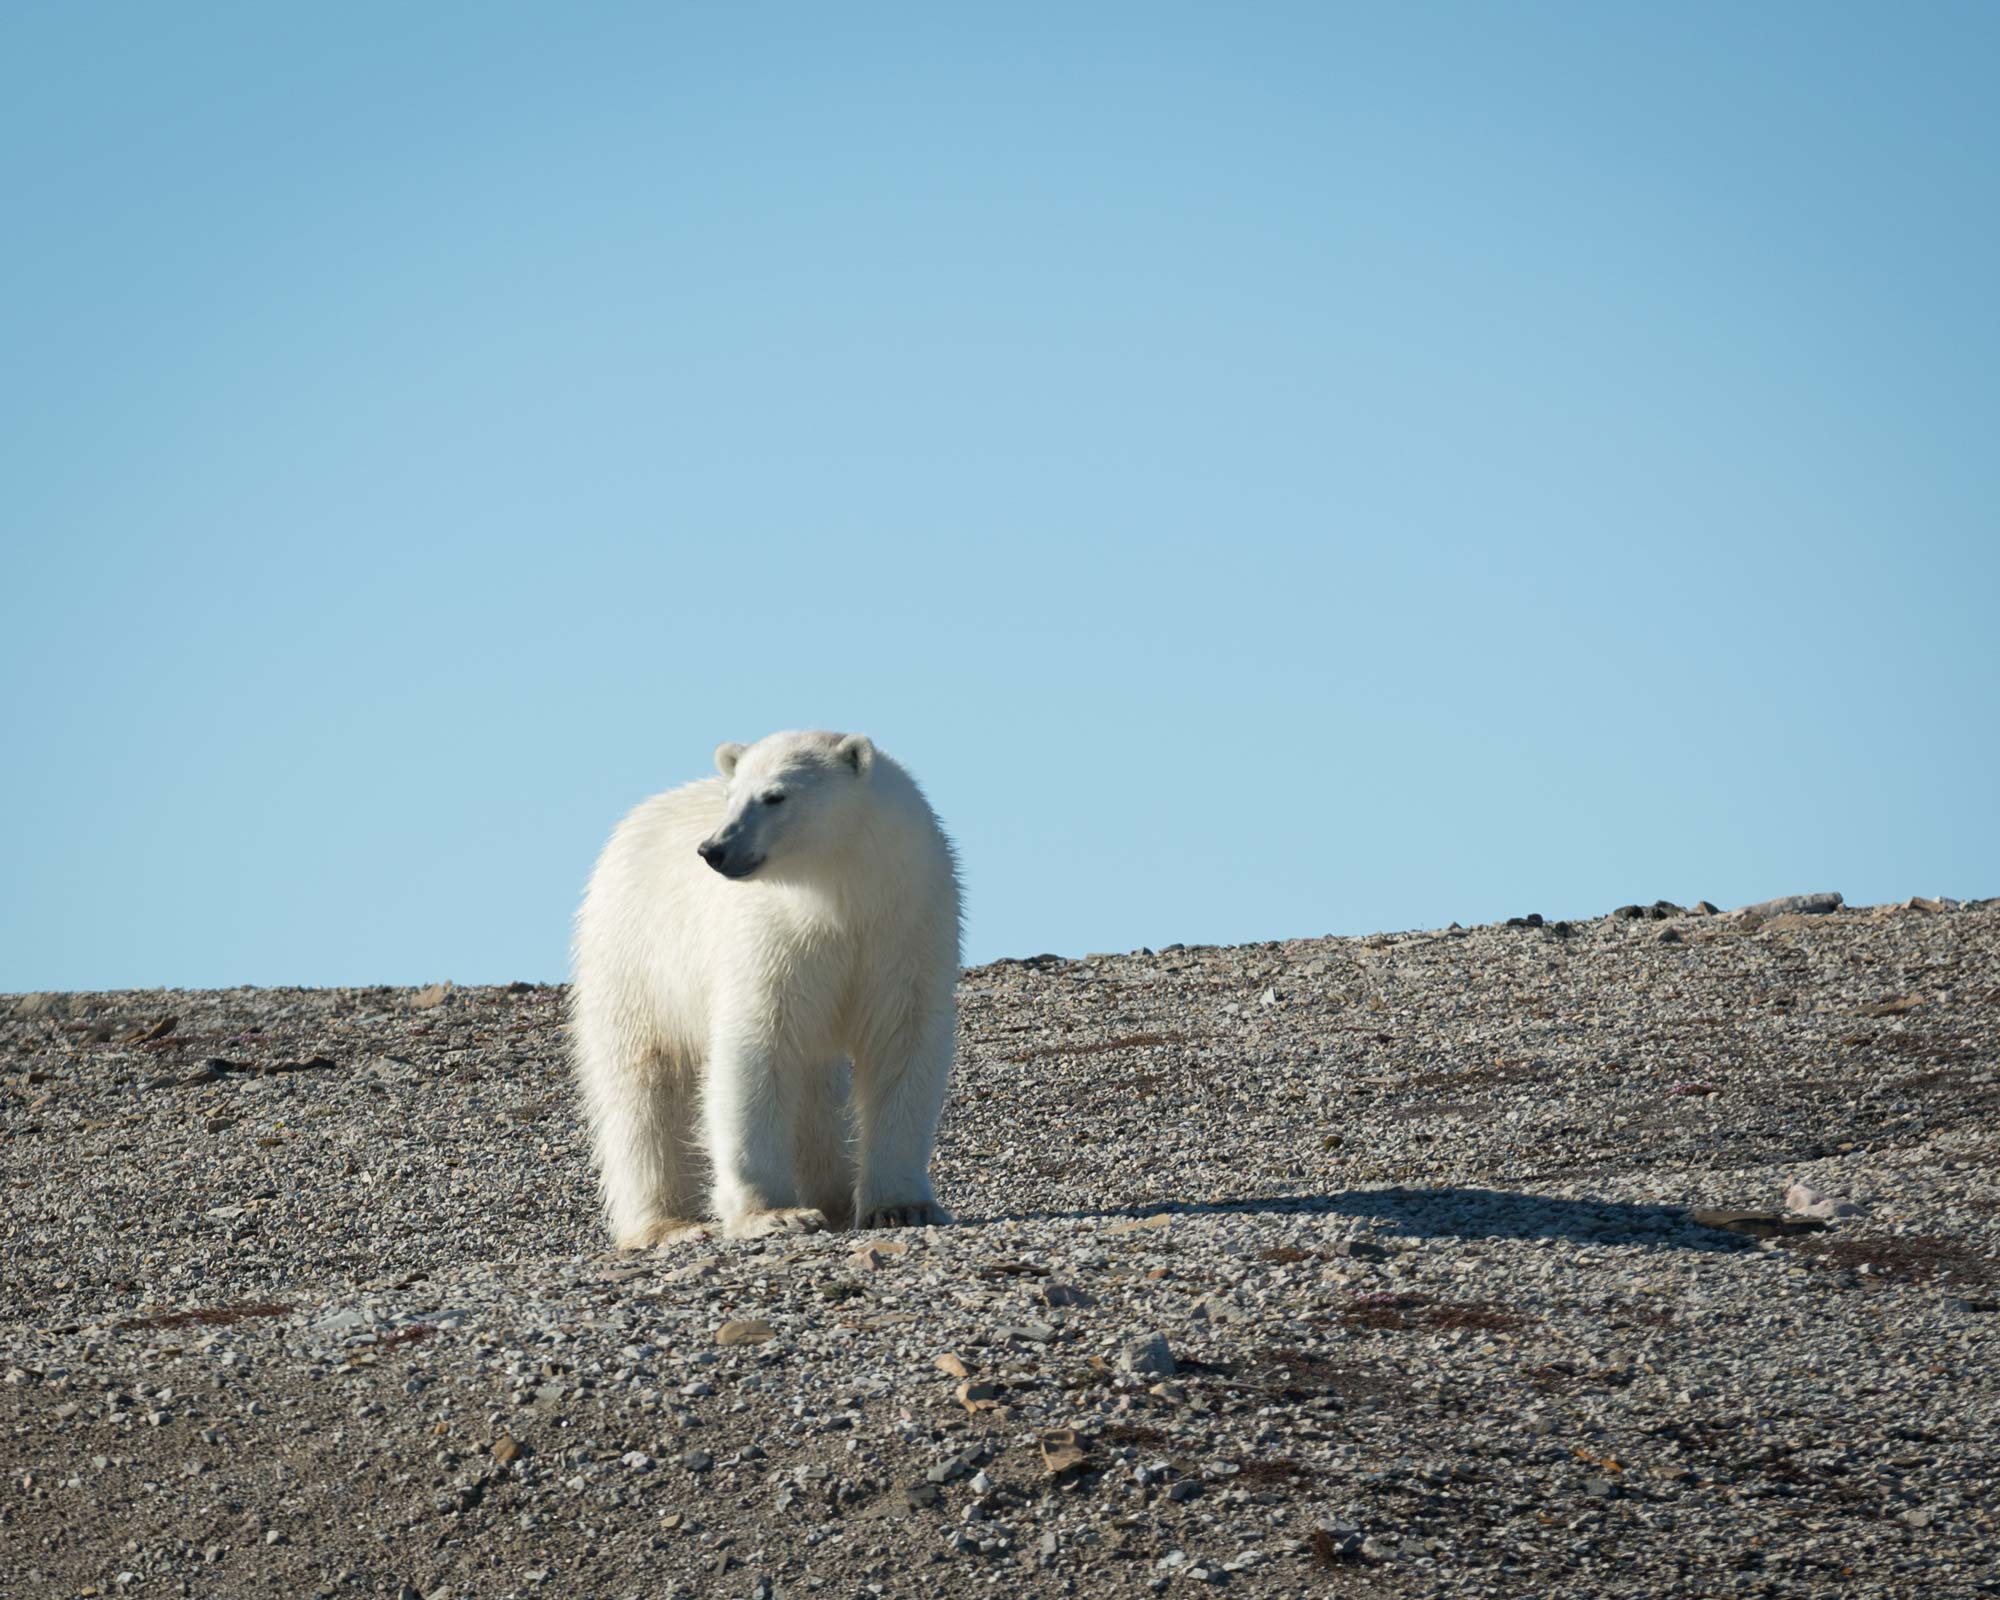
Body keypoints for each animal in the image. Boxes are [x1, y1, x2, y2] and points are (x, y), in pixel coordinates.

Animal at [570, 730, 961, 1245]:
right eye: (730, 796)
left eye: (775, 796)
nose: (714, 849)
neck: (839, 896)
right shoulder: (772, 939)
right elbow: (757, 1049)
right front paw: (775, 1214)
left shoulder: (906, 927)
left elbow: (901, 1044)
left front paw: (902, 1207)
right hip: (635, 959)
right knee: (644, 1085)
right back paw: (668, 1224)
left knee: (815, 1088)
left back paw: (832, 1196)